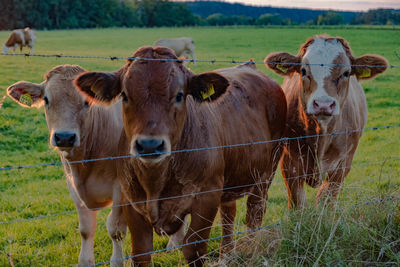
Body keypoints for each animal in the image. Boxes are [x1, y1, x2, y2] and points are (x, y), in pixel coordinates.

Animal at [74, 46, 288, 267]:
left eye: (179, 95)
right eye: (124, 95)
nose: (150, 145)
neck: (156, 183)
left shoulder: (207, 197)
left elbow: (194, 247)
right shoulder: (130, 201)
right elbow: (141, 253)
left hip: (265, 174)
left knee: (254, 214)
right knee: (229, 214)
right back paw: (226, 256)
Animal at [264, 34, 390, 209]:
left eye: (346, 73)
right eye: (303, 70)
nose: (323, 104)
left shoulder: (342, 166)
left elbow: (326, 201)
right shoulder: (290, 164)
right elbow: (299, 204)